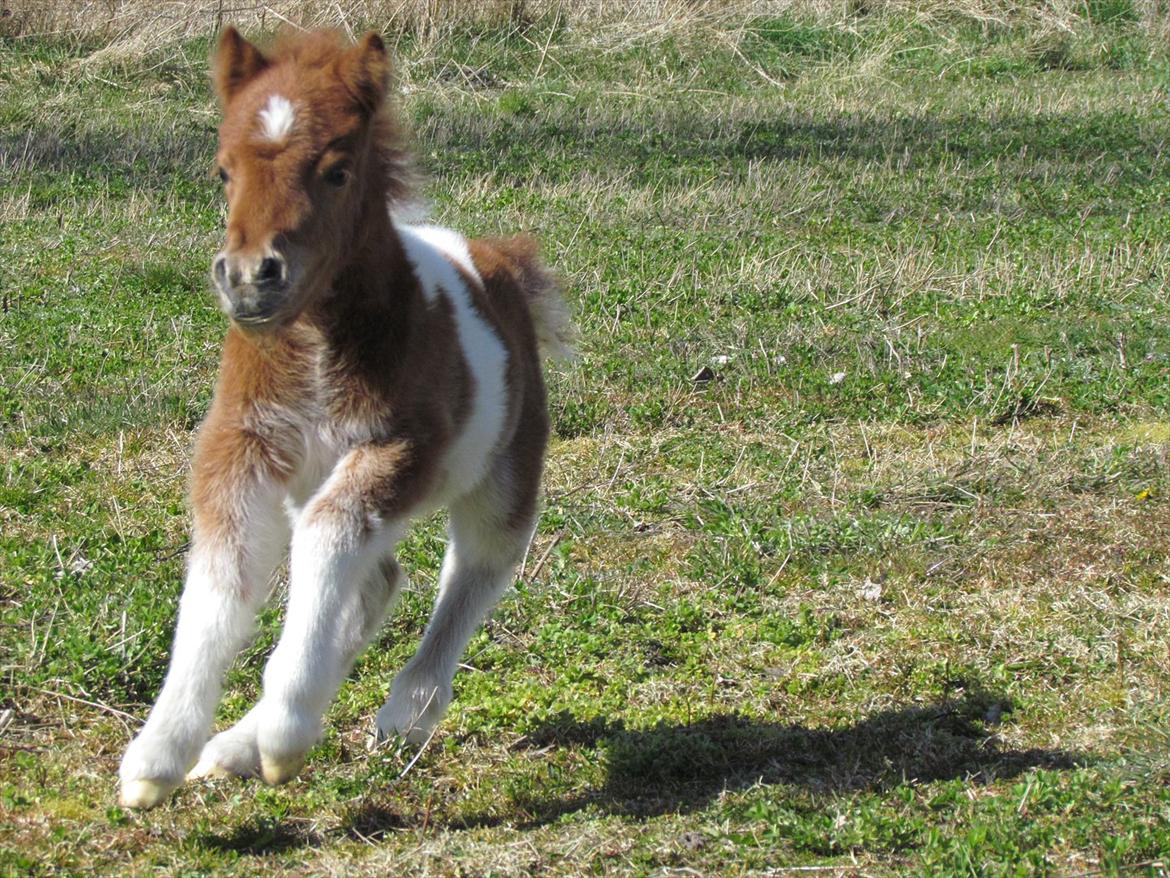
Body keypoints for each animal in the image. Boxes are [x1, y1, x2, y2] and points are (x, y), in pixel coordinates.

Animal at [117, 27, 570, 810]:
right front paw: (159, 756)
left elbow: (330, 541)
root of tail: (500, 259)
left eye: (335, 171)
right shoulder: (242, 448)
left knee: (479, 567)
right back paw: (236, 746)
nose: (249, 281)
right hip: (312, 477)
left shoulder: (400, 449)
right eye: (222, 171)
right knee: (372, 581)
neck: (317, 346)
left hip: (505, 468)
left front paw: (286, 733)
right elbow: (220, 584)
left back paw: (404, 715)